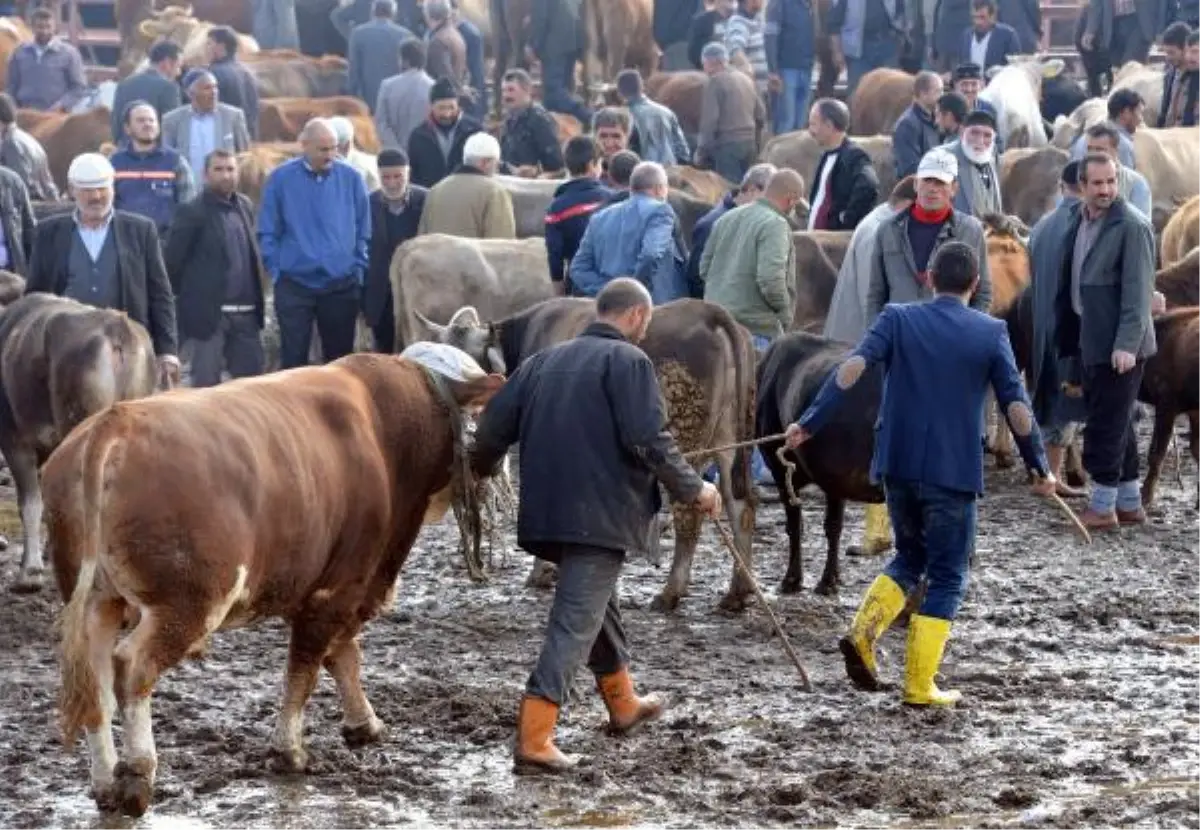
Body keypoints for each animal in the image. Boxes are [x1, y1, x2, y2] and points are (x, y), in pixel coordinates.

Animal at [48, 350, 501, 815]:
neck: (386, 427)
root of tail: (114, 421)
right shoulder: (338, 588)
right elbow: (306, 667)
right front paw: (290, 750)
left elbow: (343, 656)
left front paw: (364, 724)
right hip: (188, 604)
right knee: (132, 666)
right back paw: (137, 774)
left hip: (98, 602)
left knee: (94, 684)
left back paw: (105, 783)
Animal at [758, 333, 883, 597]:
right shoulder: (835, 480)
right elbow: (833, 526)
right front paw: (830, 580)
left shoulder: (779, 469)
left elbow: (797, 525)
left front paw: (794, 580)